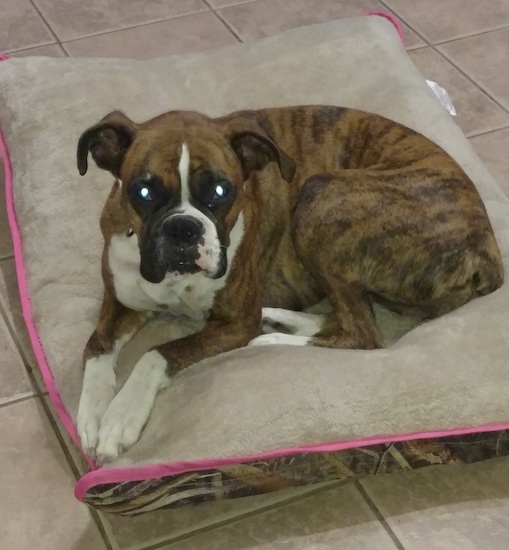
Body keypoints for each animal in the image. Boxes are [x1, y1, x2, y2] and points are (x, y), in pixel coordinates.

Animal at [73, 105, 502, 464]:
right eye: (143, 191)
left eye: (221, 191)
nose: (183, 229)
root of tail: (486, 250)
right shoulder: (121, 301)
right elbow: (95, 345)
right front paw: (92, 413)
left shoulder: (234, 324)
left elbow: (158, 353)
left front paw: (121, 415)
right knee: (345, 318)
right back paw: (280, 320)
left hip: (321, 194)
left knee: (361, 333)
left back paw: (270, 339)